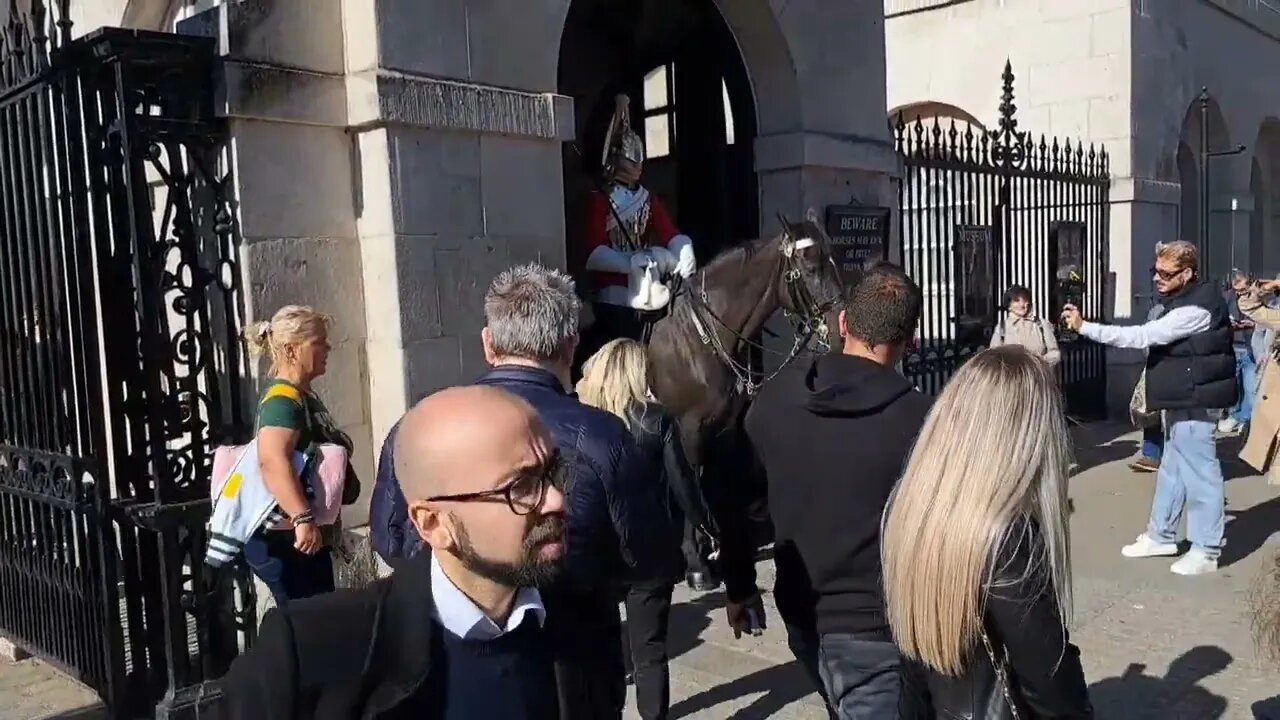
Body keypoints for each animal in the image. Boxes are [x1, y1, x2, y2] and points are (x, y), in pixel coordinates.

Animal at [650, 207, 849, 548]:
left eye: (834, 259)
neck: (704, 338)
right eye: (810, 268)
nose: (840, 330)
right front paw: (697, 548)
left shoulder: (727, 424)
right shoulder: (688, 429)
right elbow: (691, 482)